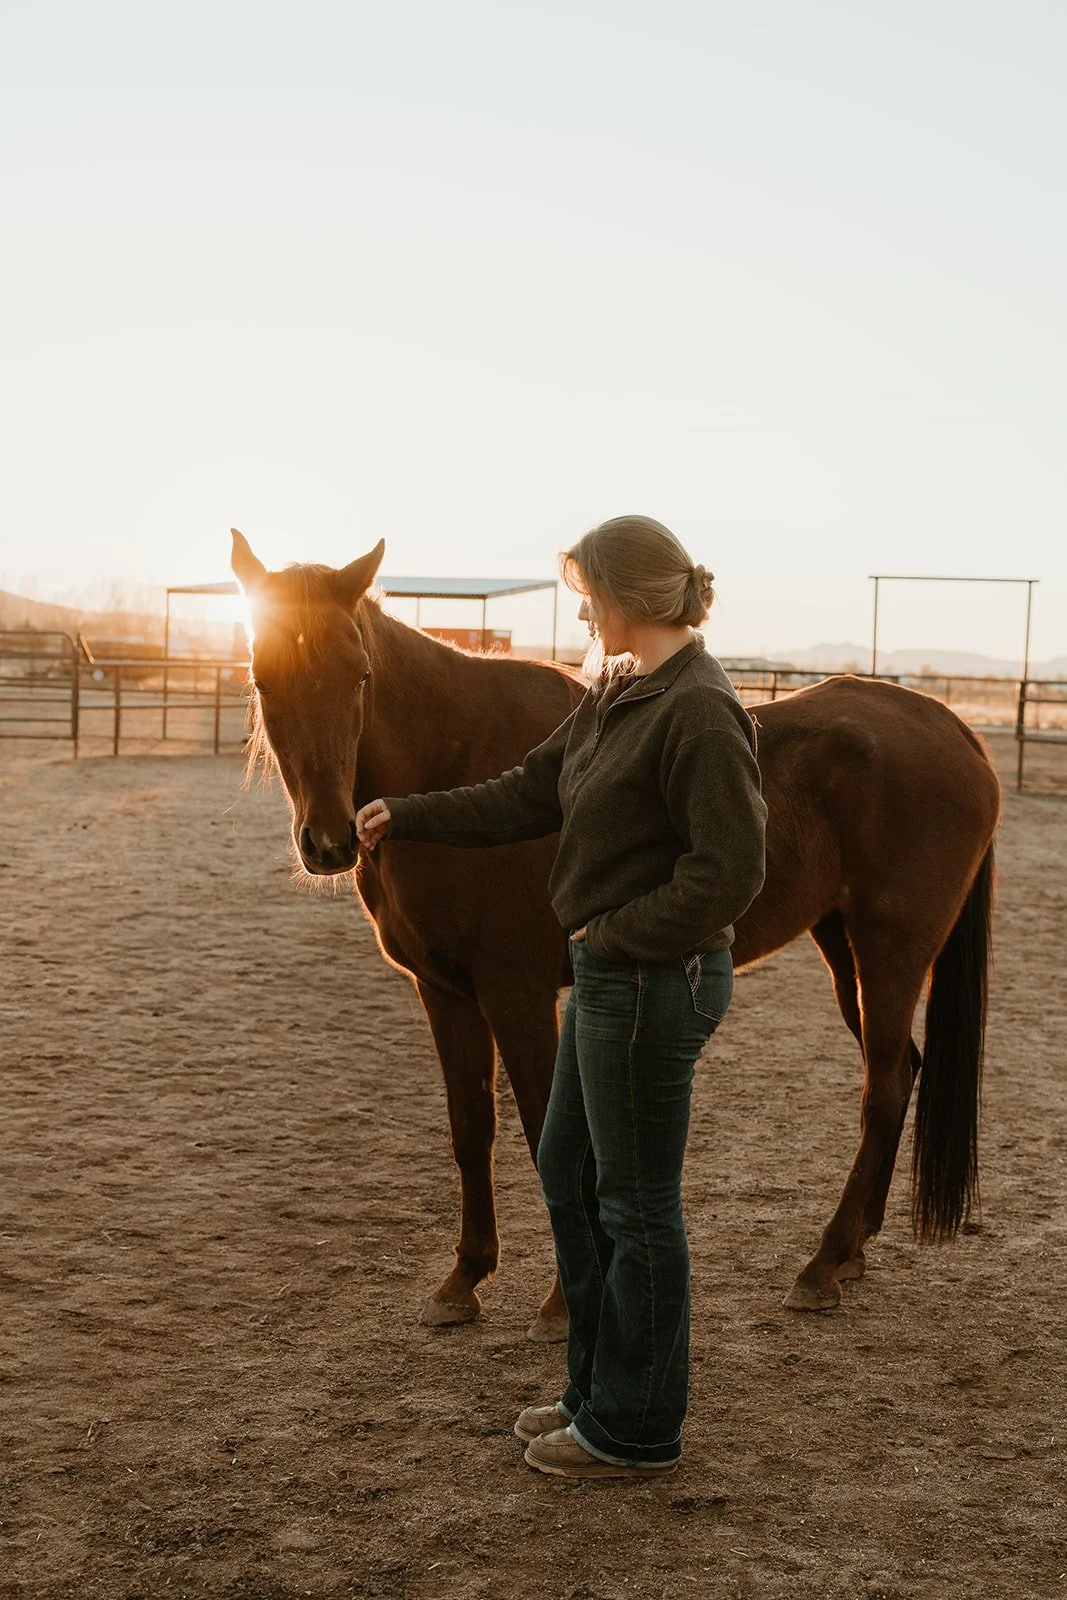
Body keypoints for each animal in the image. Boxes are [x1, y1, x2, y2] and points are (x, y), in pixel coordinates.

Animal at [232, 531, 1000, 1331]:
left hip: (890, 954)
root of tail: (954, 731)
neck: (454, 749)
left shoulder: (516, 992)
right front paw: (465, 1277)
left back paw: (821, 1264)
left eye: (358, 675)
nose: (329, 841)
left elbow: (548, 1133)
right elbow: (471, 1127)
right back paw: (851, 1250)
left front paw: (563, 1301)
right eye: (262, 679)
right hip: (843, 948)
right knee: (901, 1072)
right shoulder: (445, 992)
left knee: (882, 1088)